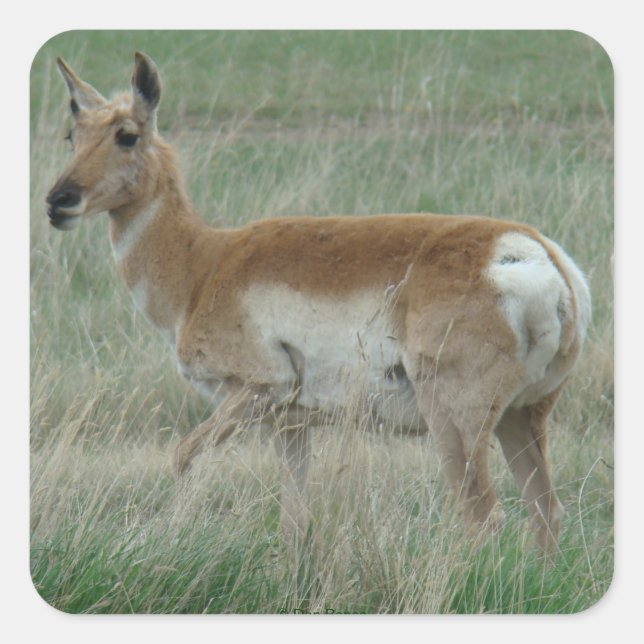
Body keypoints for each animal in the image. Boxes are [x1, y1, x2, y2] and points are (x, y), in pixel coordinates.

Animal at [46, 52, 591, 551]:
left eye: (127, 134)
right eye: (74, 134)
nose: (58, 201)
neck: (204, 263)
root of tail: (537, 255)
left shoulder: (256, 390)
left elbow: (182, 455)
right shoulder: (290, 424)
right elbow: (293, 521)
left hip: (456, 418)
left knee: (481, 513)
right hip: (522, 416)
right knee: (545, 512)